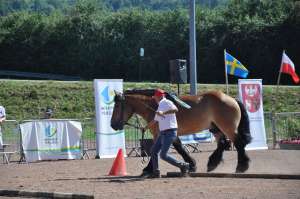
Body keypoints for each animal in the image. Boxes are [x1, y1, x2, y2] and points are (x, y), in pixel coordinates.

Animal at [111, 88, 252, 174]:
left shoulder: (159, 134)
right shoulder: (169, 134)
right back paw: (212, 164)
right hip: (216, 128)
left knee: (238, 143)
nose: (113, 125)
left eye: (117, 105)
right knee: (223, 144)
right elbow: (178, 147)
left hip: (228, 128)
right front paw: (191, 164)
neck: (155, 106)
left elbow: (156, 151)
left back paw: (241, 167)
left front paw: (148, 169)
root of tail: (232, 99)